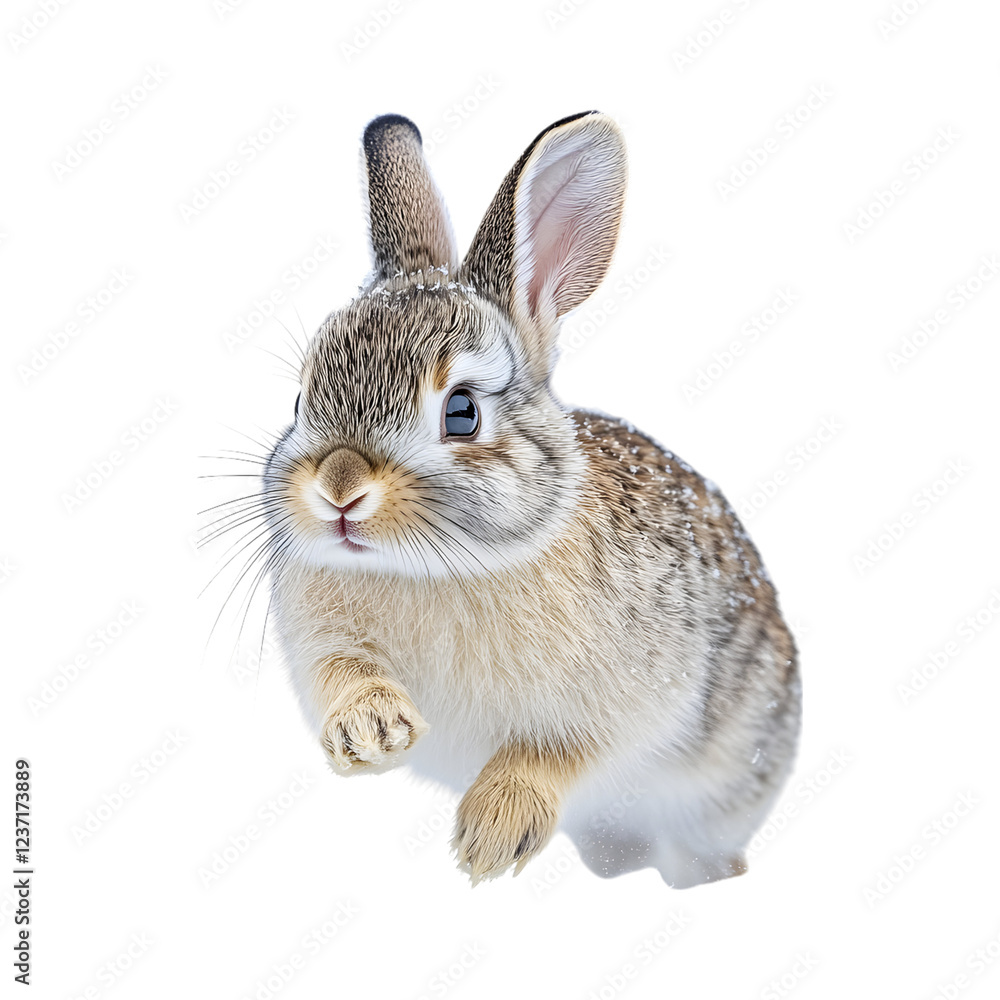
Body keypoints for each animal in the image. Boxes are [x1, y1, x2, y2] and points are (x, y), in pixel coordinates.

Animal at [259, 110, 801, 887]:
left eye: (461, 413)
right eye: (302, 398)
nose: (338, 491)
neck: (439, 566)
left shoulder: (628, 699)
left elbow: (562, 750)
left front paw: (491, 835)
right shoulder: (322, 639)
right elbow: (345, 675)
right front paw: (372, 732)